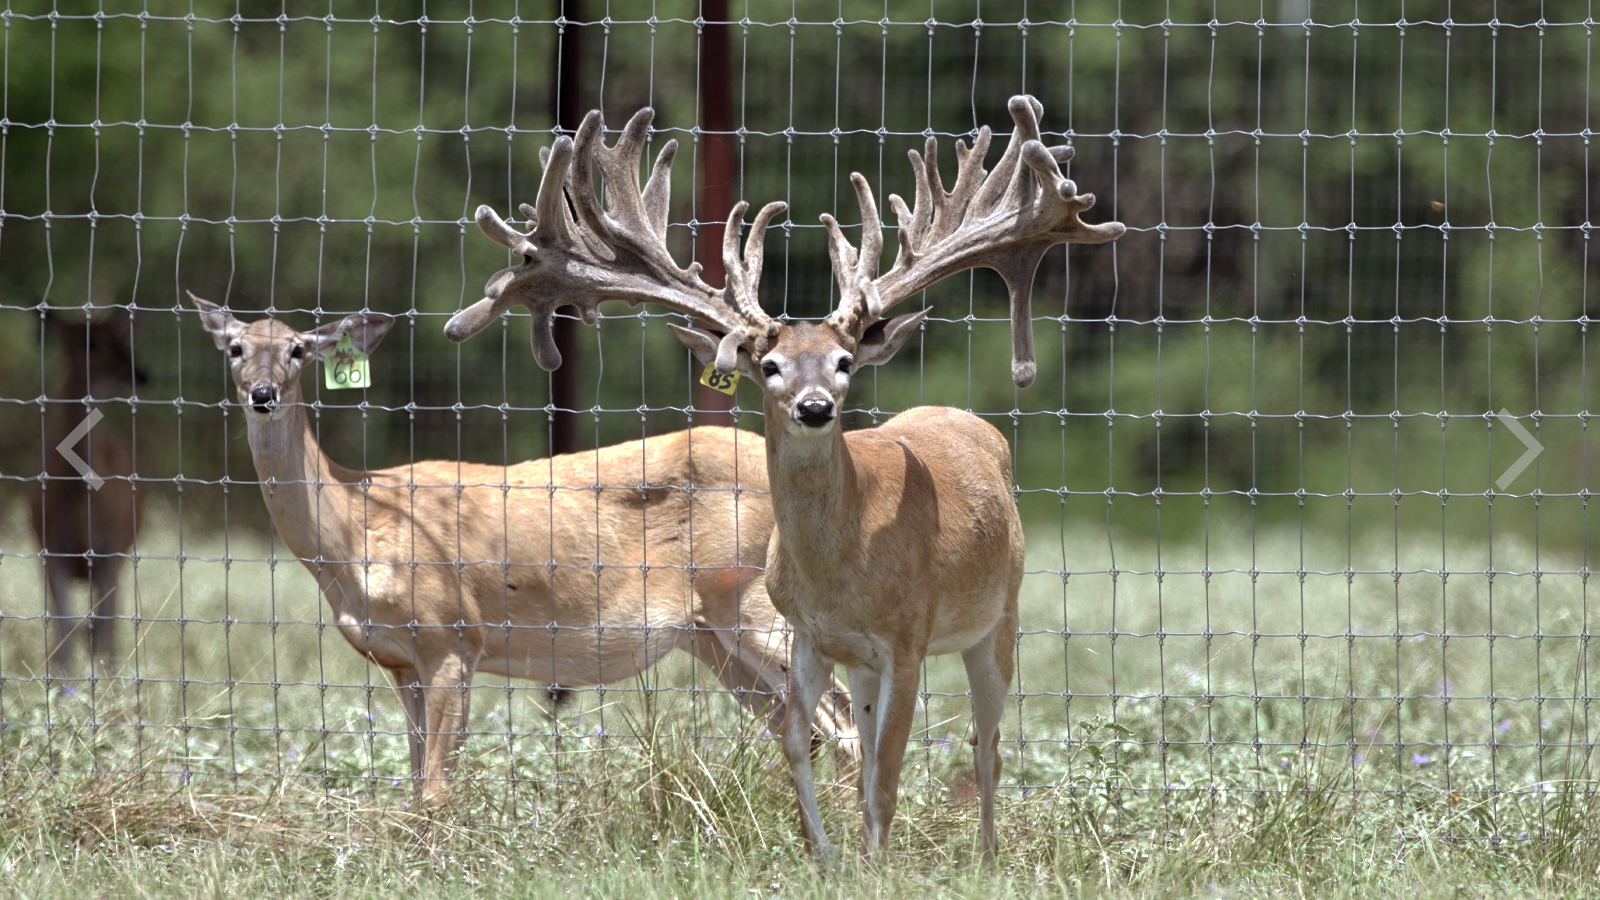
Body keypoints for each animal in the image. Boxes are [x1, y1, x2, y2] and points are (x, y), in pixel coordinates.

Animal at [29, 307, 146, 672]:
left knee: (106, 626)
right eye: (91, 344)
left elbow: (104, 631)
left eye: (123, 340)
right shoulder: (51, 549)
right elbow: (64, 631)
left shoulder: (111, 550)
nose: (141, 375)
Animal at [190, 296, 851, 807]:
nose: (264, 394)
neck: (357, 529)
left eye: (299, 349)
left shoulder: (454, 636)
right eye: (235, 348)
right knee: (798, 724)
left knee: (839, 715)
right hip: (710, 635)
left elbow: (436, 788)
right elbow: (415, 778)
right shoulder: (400, 660)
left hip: (758, 602)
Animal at [444, 94, 1126, 858]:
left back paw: (985, 855)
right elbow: (802, 741)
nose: (814, 407)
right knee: (868, 735)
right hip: (848, 653)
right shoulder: (808, 633)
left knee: (988, 743)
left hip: (997, 616)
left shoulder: (908, 637)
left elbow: (889, 770)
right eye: (767, 365)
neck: (845, 566)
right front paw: (827, 858)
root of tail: (968, 421)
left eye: (844, 362)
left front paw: (877, 864)